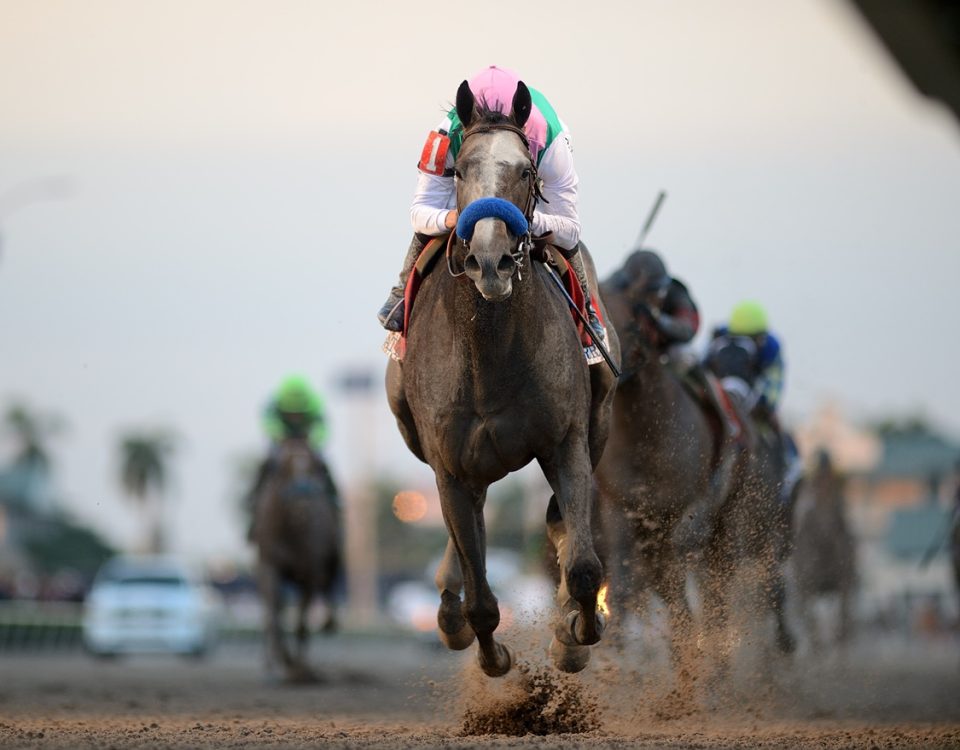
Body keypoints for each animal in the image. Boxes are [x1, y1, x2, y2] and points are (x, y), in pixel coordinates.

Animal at [253, 438, 344, 684]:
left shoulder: (310, 572)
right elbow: (274, 614)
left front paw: (300, 668)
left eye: (316, 467)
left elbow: (302, 623)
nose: (301, 499)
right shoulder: (269, 566)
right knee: (273, 612)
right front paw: (283, 661)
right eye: (282, 467)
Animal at [386, 79, 620, 680]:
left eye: (525, 172)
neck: (489, 358)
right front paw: (490, 654)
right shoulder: (448, 464)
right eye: (459, 169)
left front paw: (573, 637)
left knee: (557, 525)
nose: (489, 260)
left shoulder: (566, 441)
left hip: (596, 421)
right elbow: (481, 600)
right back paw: (447, 611)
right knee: (465, 537)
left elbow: (583, 566)